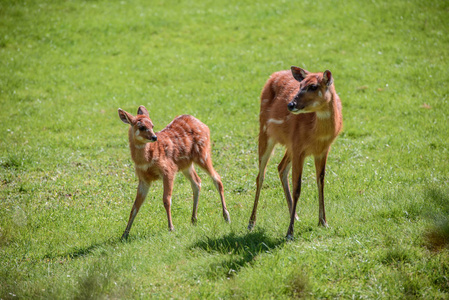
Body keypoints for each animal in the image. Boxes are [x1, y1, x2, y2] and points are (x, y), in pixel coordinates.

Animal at [118, 105, 231, 239]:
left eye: (152, 125)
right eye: (141, 127)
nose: (154, 137)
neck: (146, 160)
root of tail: (203, 124)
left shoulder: (168, 170)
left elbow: (166, 200)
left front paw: (171, 228)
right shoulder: (143, 178)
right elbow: (135, 205)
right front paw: (124, 234)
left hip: (203, 153)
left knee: (217, 179)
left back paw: (226, 217)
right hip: (186, 164)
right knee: (197, 182)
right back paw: (193, 219)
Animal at [247, 66, 342, 239]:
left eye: (313, 86)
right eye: (300, 85)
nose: (290, 104)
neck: (317, 135)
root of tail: (273, 75)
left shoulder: (322, 150)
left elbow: (321, 182)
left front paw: (323, 222)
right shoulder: (299, 148)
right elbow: (298, 187)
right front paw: (289, 233)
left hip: (288, 145)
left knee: (280, 167)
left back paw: (296, 215)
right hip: (265, 131)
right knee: (260, 176)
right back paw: (251, 223)